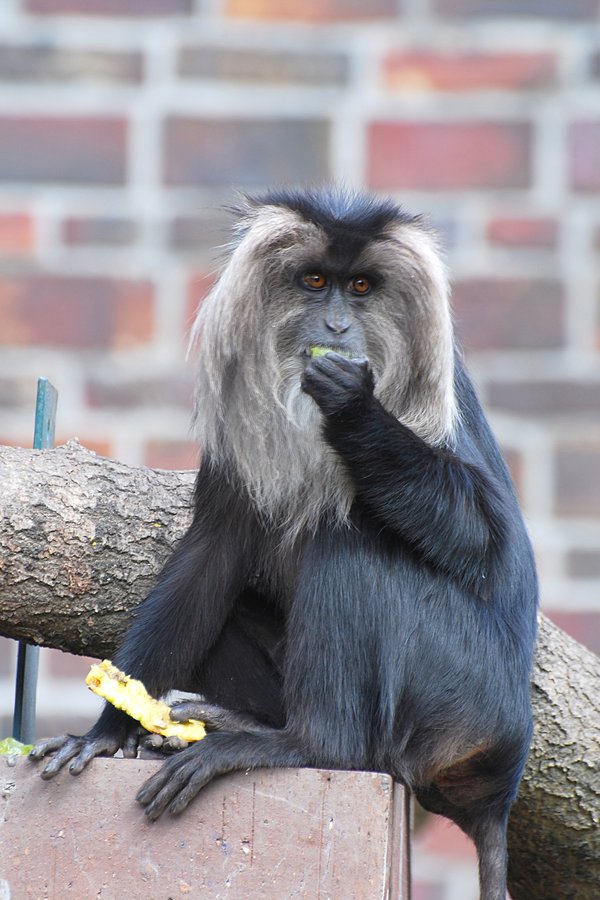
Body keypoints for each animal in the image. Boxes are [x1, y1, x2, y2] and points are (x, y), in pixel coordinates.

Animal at [31, 188, 537, 900]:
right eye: (316, 283)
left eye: (361, 288)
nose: (336, 329)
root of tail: (502, 782)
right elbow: (210, 556)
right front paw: (109, 729)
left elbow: (489, 545)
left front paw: (354, 411)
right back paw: (234, 725)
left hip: (464, 696)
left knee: (350, 541)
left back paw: (303, 746)